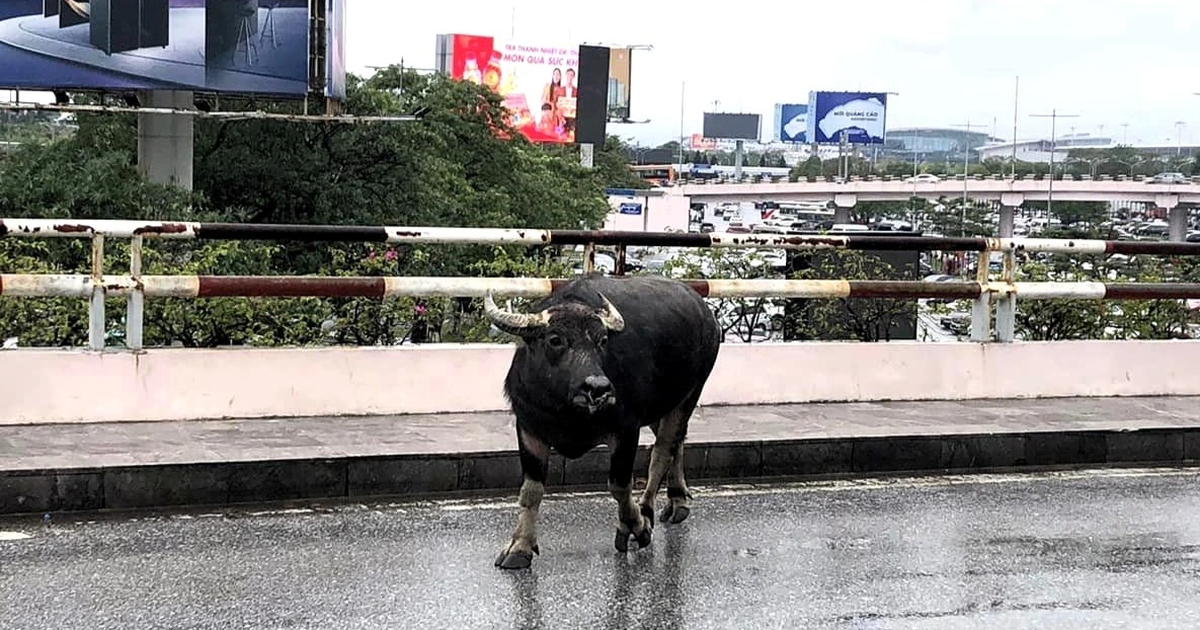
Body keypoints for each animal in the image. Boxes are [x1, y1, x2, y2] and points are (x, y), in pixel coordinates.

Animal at [480, 272, 720, 566]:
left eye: (602, 341)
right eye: (555, 339)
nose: (598, 388)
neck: (567, 411)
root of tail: (707, 315)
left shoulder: (626, 430)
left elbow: (620, 486)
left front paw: (636, 527)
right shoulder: (529, 428)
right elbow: (531, 491)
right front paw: (519, 548)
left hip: (690, 394)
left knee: (663, 452)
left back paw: (648, 510)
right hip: (664, 405)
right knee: (678, 442)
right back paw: (677, 501)